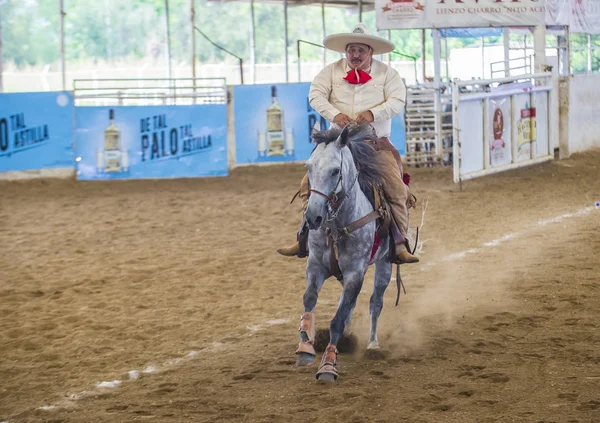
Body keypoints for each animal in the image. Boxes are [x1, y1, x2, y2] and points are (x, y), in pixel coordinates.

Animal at [294, 124, 398, 382]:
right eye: (309, 167)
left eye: (335, 171)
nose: (313, 217)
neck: (337, 223)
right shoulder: (315, 265)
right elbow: (309, 300)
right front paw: (305, 348)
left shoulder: (355, 273)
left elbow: (338, 320)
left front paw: (328, 365)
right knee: (350, 304)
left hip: (384, 265)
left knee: (375, 303)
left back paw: (372, 345)